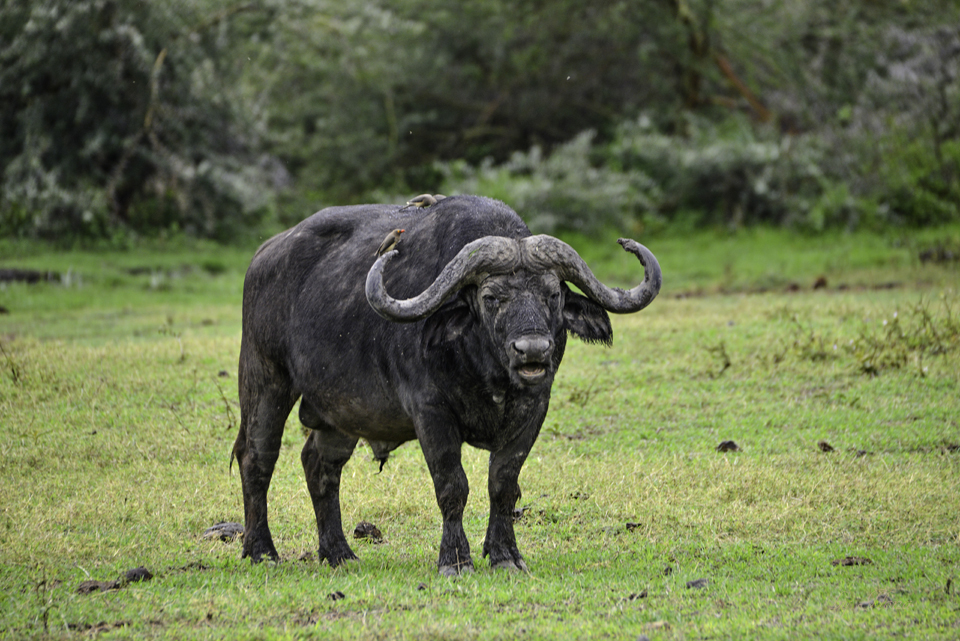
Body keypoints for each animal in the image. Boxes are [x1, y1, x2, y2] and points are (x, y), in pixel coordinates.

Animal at [232, 195, 660, 576]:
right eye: (491, 297)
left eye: (552, 294)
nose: (533, 351)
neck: (487, 372)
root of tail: (263, 255)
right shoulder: (430, 412)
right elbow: (453, 486)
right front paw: (455, 561)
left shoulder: (535, 410)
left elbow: (503, 483)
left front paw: (506, 556)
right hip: (264, 377)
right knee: (257, 457)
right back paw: (261, 551)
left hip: (341, 411)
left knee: (320, 465)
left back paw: (339, 553)